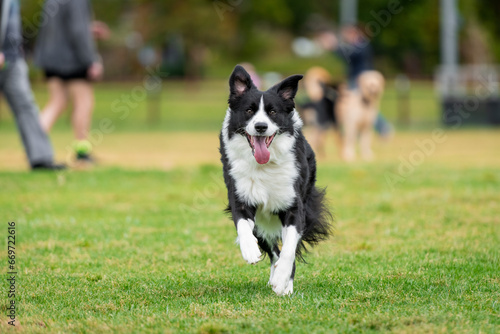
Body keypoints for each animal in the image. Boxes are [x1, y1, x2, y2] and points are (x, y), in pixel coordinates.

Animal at [220, 65, 332, 294]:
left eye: (272, 112)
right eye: (249, 111)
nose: (261, 126)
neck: (264, 166)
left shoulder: (294, 206)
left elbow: (289, 248)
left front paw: (282, 280)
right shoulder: (240, 196)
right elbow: (243, 225)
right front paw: (250, 251)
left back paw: (284, 283)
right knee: (272, 250)